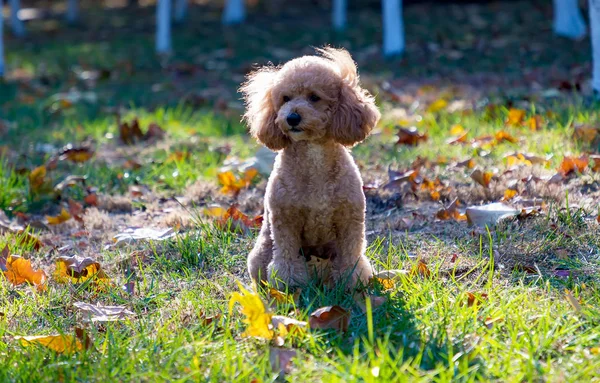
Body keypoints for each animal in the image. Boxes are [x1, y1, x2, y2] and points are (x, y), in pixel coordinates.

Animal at [239, 46, 380, 290]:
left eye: (314, 97)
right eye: (285, 98)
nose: (292, 117)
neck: (313, 156)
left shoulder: (349, 219)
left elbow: (350, 256)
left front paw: (351, 281)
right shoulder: (285, 219)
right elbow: (286, 257)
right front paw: (289, 283)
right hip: (260, 253)